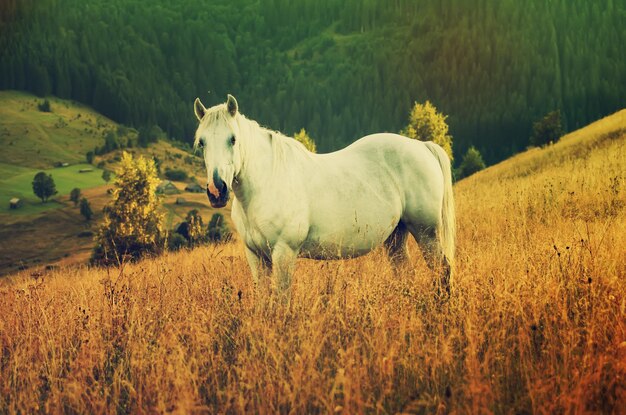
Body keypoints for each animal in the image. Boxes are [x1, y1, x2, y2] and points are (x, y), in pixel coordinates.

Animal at [191, 94, 454, 296]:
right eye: (201, 143)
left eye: (233, 139)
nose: (216, 190)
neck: (267, 181)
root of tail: (422, 146)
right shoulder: (256, 256)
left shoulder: (284, 253)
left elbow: (282, 298)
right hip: (396, 237)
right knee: (406, 273)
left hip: (426, 232)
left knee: (443, 269)